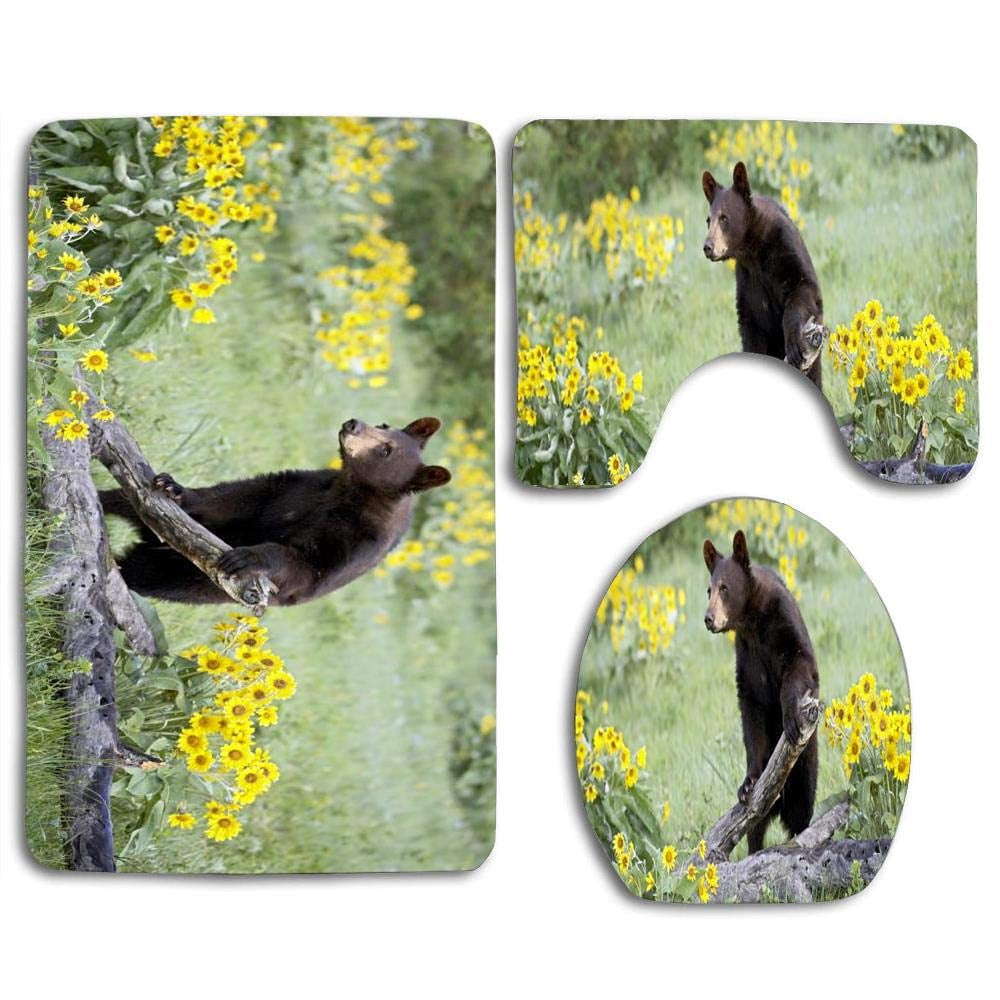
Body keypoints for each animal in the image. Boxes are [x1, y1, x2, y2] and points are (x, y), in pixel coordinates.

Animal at [99, 417, 451, 606]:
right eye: (384, 425)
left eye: (386, 449)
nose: (352, 424)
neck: (349, 493)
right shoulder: (304, 485)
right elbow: (245, 496)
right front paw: (175, 489)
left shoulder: (355, 545)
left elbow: (305, 567)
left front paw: (247, 557)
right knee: (121, 499)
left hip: (180, 577)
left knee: (138, 574)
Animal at [702, 161, 825, 387]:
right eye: (708, 220)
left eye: (724, 218)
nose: (708, 247)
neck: (753, 249)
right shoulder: (747, 279)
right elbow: (750, 322)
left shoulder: (785, 247)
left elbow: (802, 287)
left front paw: (794, 344)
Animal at [702, 529, 819, 854]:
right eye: (708, 590)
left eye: (725, 588)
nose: (709, 618)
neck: (752, 621)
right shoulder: (746, 653)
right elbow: (751, 709)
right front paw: (748, 782)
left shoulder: (783, 621)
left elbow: (799, 663)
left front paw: (790, 718)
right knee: (755, 827)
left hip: (805, 765)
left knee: (802, 809)